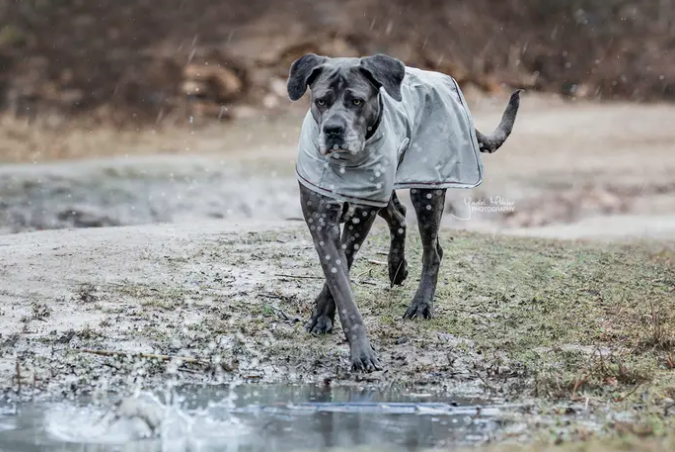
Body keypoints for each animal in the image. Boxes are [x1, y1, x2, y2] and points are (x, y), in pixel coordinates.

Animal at [286, 53, 524, 370]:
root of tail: (444, 80)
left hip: (427, 190)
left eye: (356, 101)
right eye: (321, 101)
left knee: (433, 251)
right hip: (387, 189)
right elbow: (338, 279)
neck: (343, 165)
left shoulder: (360, 217)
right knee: (398, 215)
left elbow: (342, 276)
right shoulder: (321, 220)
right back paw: (396, 266)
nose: (334, 130)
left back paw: (421, 304)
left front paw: (356, 347)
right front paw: (326, 320)